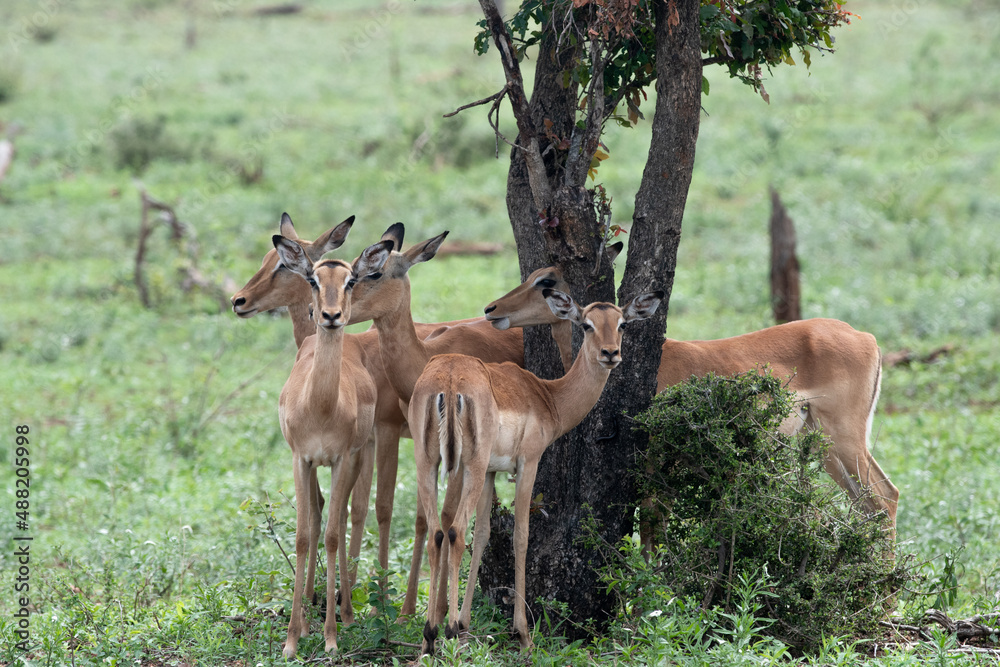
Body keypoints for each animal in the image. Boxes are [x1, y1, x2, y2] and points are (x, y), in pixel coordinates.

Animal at [272, 232, 394, 657]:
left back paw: (346, 615)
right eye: (312, 279)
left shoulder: (341, 458)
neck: (321, 406)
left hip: (358, 458)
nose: (329, 316)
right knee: (319, 515)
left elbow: (330, 536)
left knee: (342, 519)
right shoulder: (301, 459)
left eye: (351, 281)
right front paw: (293, 639)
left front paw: (330, 638)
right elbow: (303, 536)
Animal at [346, 229, 525, 616]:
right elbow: (428, 520)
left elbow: (445, 517)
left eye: (374, 272)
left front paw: (441, 609)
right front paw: (412, 612)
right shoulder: (425, 448)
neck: (430, 357)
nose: (324, 311)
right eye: (352, 268)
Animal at [411, 288, 663, 653]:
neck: (548, 397)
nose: (610, 354)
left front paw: (467, 625)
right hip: (469, 467)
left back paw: (430, 636)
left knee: (437, 533)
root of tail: (448, 379)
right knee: (455, 531)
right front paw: (523, 634)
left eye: (622, 324)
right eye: (586, 324)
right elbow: (521, 535)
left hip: (428, 464)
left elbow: (484, 534)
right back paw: (447, 632)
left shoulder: (491, 471)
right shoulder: (528, 462)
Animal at [484, 266, 899, 539]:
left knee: (885, 498)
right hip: (824, 443)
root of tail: (866, 337)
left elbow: (653, 524)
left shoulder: (657, 461)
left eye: (545, 281)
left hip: (844, 436)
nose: (492, 309)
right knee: (867, 504)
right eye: (586, 323)